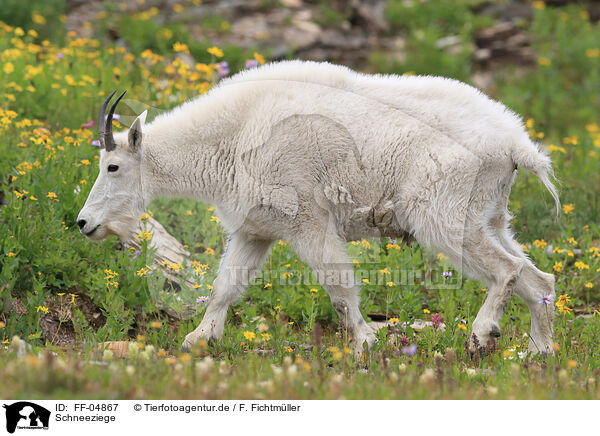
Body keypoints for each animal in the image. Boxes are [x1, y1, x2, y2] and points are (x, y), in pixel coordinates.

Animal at [77, 60, 560, 354]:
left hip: (443, 215)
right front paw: (198, 338)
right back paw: (537, 352)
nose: (84, 223)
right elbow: (225, 287)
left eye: (113, 166)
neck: (232, 134)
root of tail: (515, 144)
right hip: (489, 216)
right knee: (538, 278)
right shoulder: (256, 229)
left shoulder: (307, 219)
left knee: (506, 270)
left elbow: (339, 287)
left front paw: (365, 343)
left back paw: (483, 333)